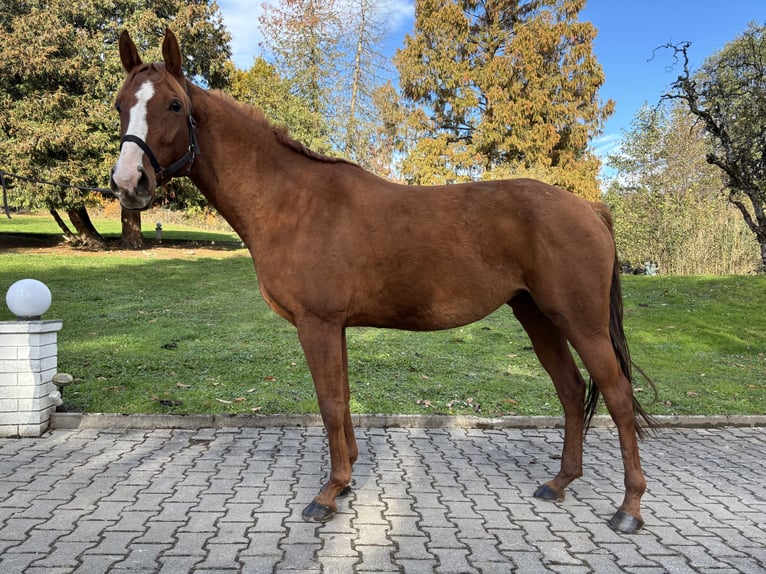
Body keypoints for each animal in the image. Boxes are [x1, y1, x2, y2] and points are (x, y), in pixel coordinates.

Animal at [110, 29, 654, 534]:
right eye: (120, 105)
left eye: (175, 105)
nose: (128, 184)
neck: (293, 202)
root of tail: (589, 207)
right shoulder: (335, 327)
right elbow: (343, 398)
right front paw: (347, 479)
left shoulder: (318, 324)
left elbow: (330, 403)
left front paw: (328, 494)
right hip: (536, 315)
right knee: (571, 390)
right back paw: (559, 482)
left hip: (580, 322)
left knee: (617, 396)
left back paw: (628, 509)